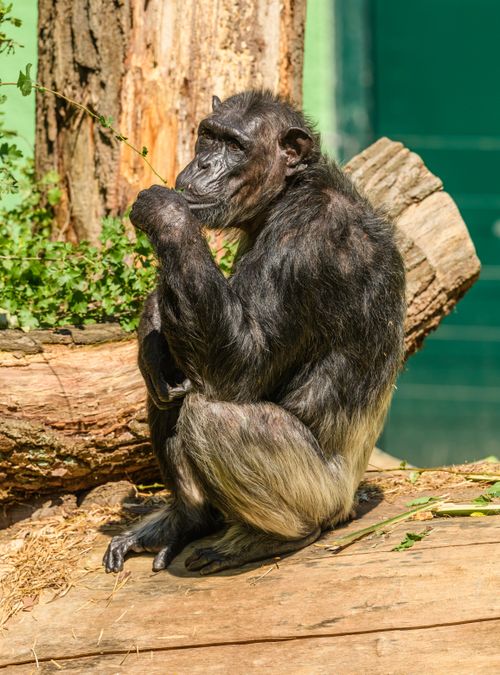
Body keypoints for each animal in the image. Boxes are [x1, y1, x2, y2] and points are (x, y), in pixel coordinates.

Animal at [103, 90, 406, 575]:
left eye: (235, 146)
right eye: (209, 136)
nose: (204, 163)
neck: (285, 195)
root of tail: (351, 497)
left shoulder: (304, 247)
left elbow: (244, 361)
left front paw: (168, 215)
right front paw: (150, 328)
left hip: (318, 492)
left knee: (213, 414)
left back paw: (269, 538)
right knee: (172, 386)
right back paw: (185, 520)